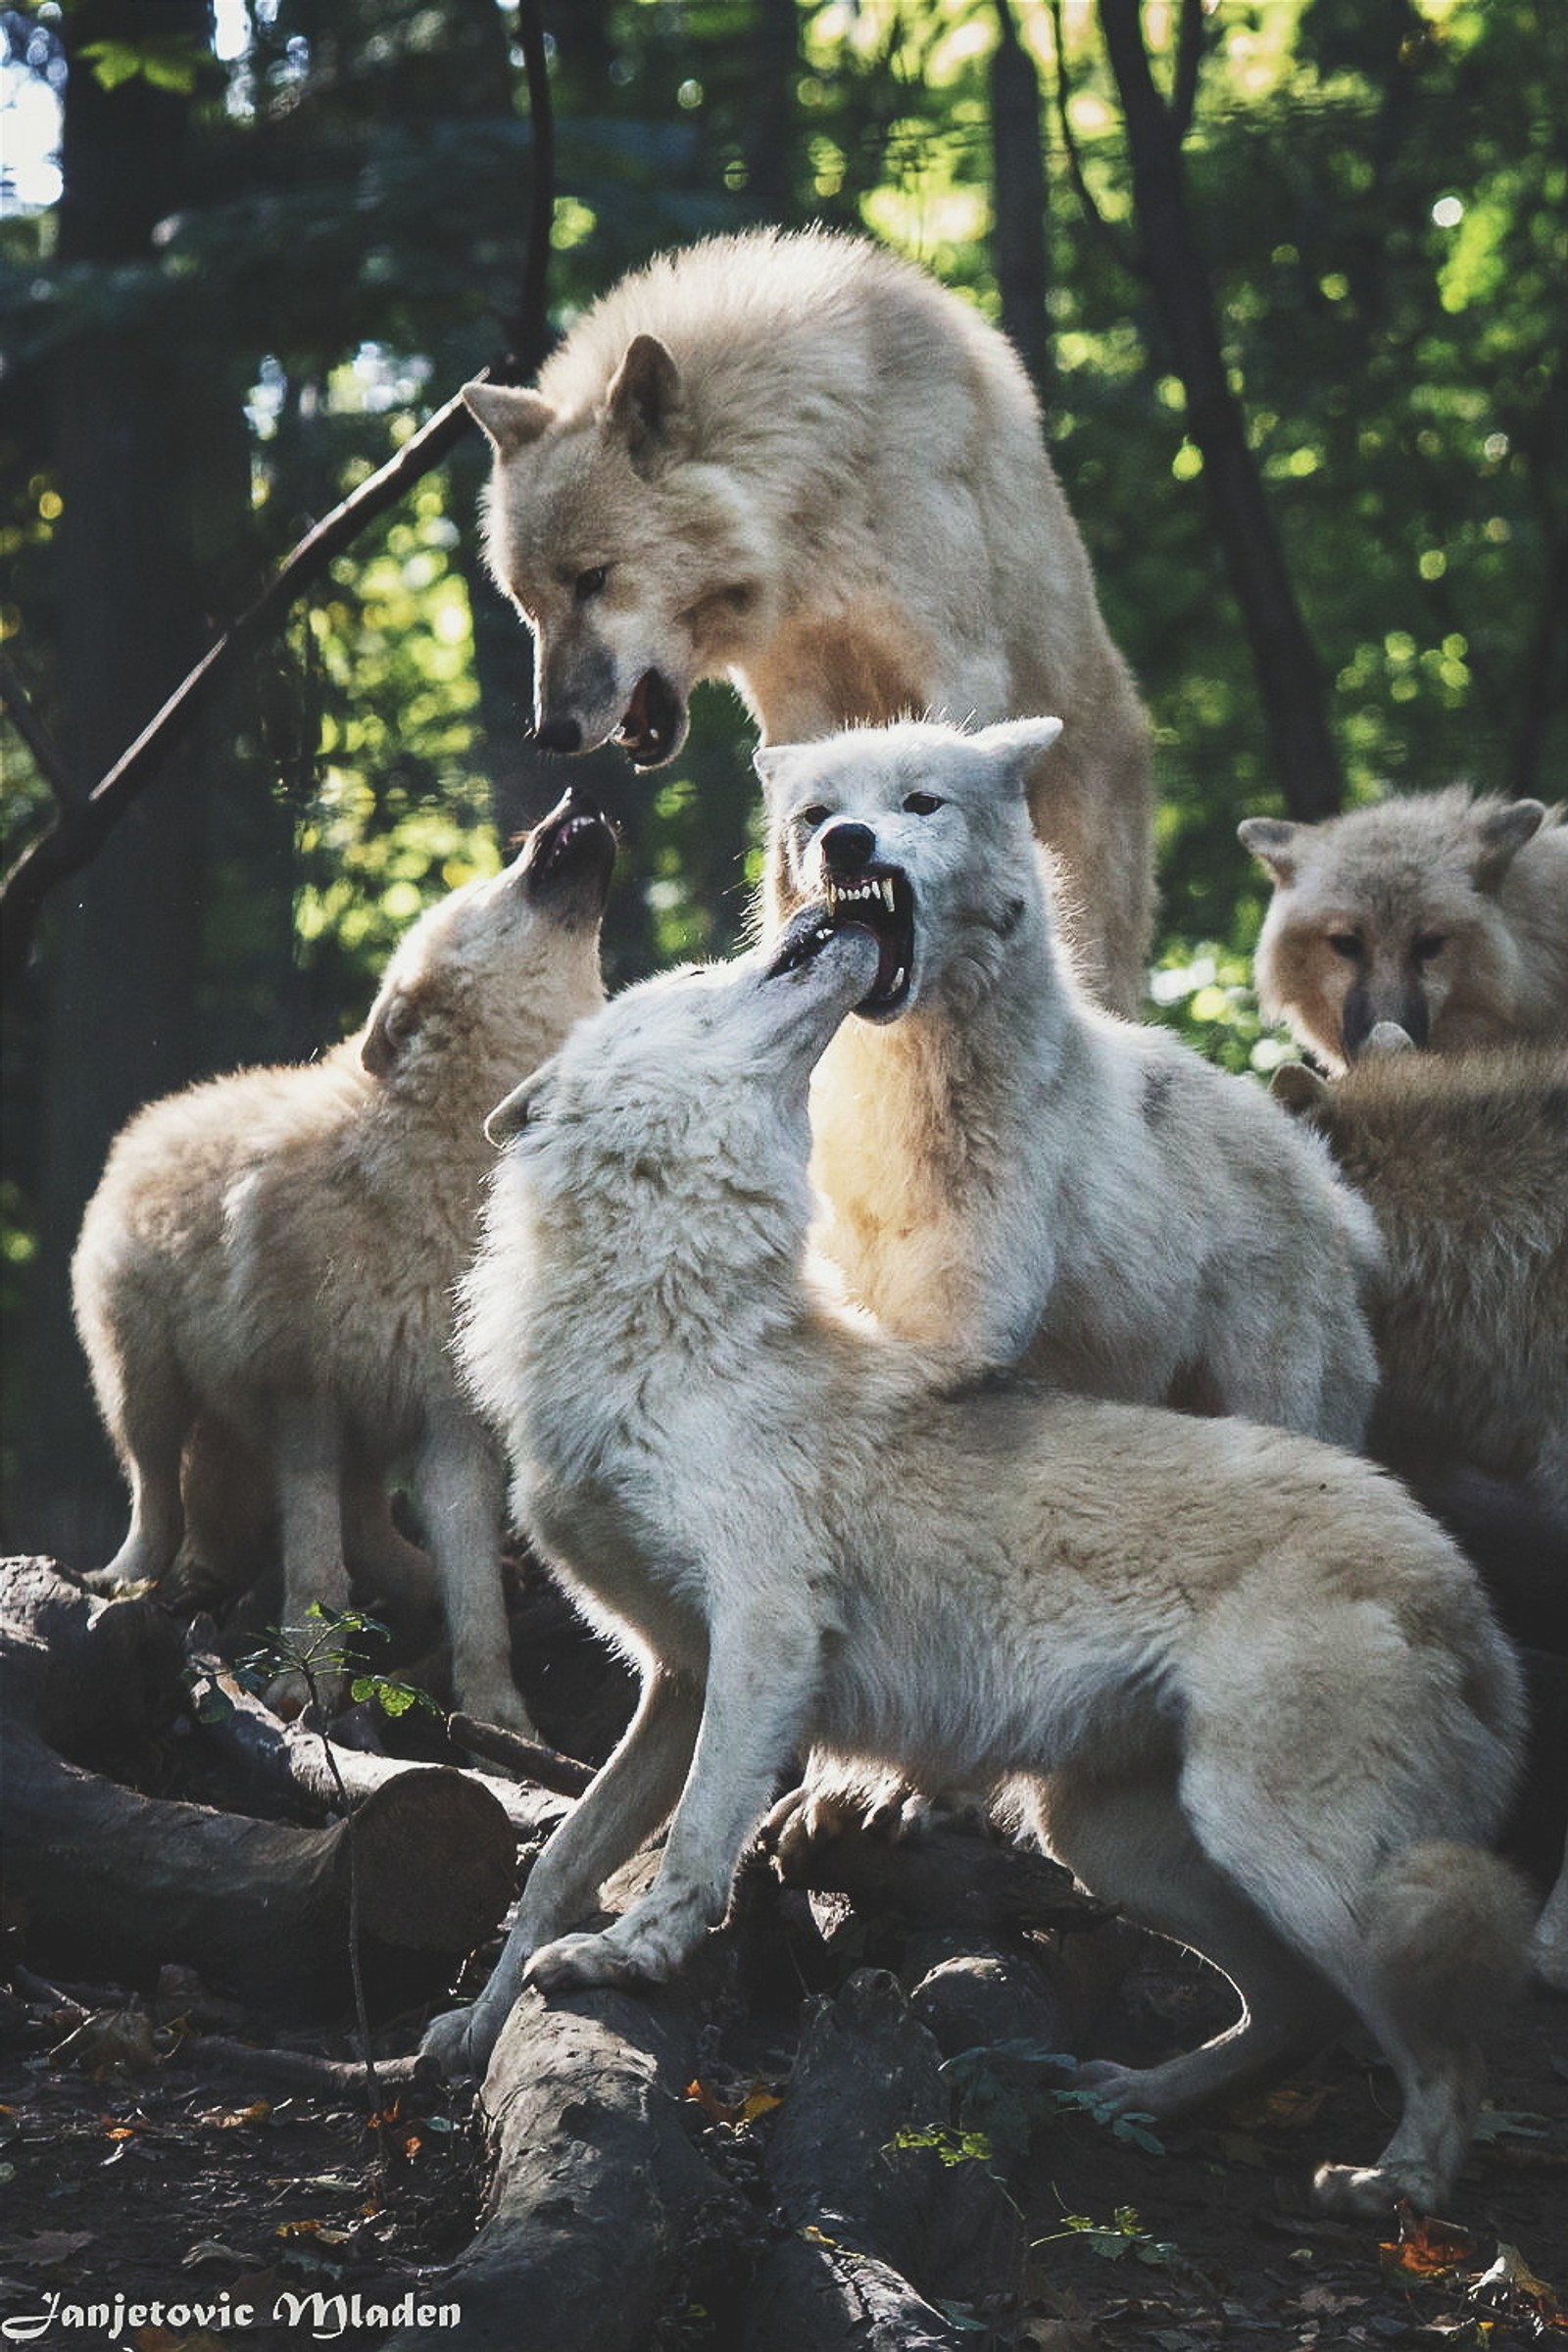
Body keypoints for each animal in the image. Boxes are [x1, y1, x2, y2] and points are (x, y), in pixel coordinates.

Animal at [461, 221, 1161, 1020]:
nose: (551, 732)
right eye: (528, 602)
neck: (819, 500)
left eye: (593, 579)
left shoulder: (959, 672)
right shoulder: (793, 707)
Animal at [761, 714, 1382, 1448]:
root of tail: (1325, 1182)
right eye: (815, 815)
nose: (847, 840)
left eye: (921, 803)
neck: (896, 1087)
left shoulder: (964, 1320)